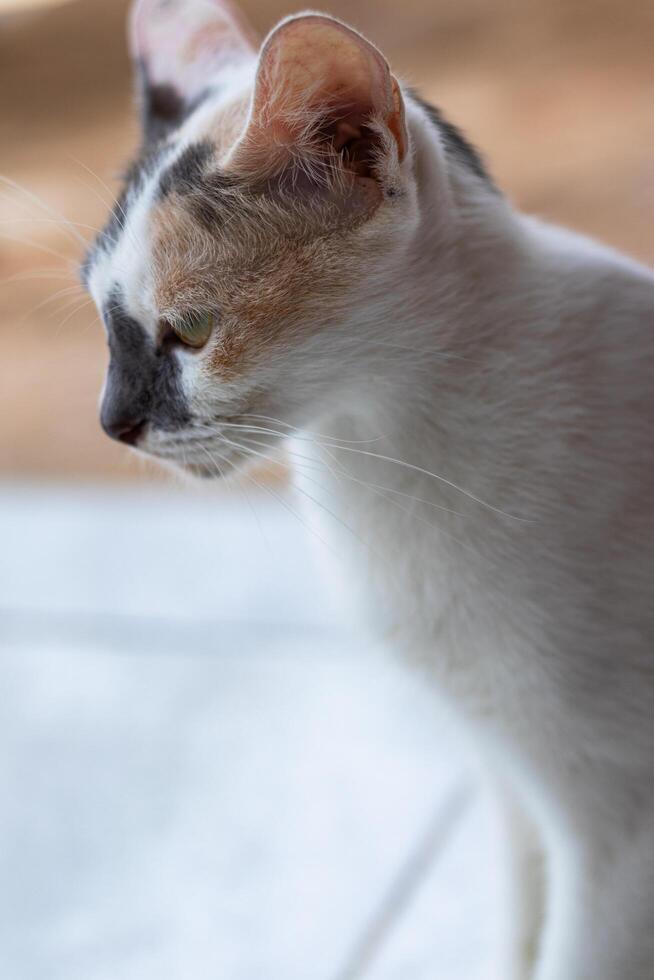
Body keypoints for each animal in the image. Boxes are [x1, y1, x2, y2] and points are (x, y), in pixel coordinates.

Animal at [83, 3, 654, 976]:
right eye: (102, 317)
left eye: (191, 329)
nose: (111, 421)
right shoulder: (511, 782)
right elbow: (522, 932)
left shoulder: (616, 834)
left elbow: (572, 954)